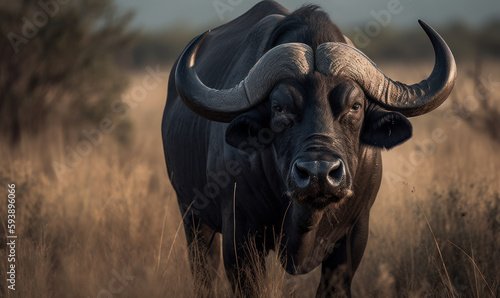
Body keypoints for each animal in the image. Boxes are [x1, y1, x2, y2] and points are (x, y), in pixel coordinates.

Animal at [162, 1, 456, 296]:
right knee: (203, 273)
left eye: (356, 106)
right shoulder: (239, 237)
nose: (318, 173)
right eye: (279, 107)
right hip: (193, 218)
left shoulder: (354, 235)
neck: (305, 218)